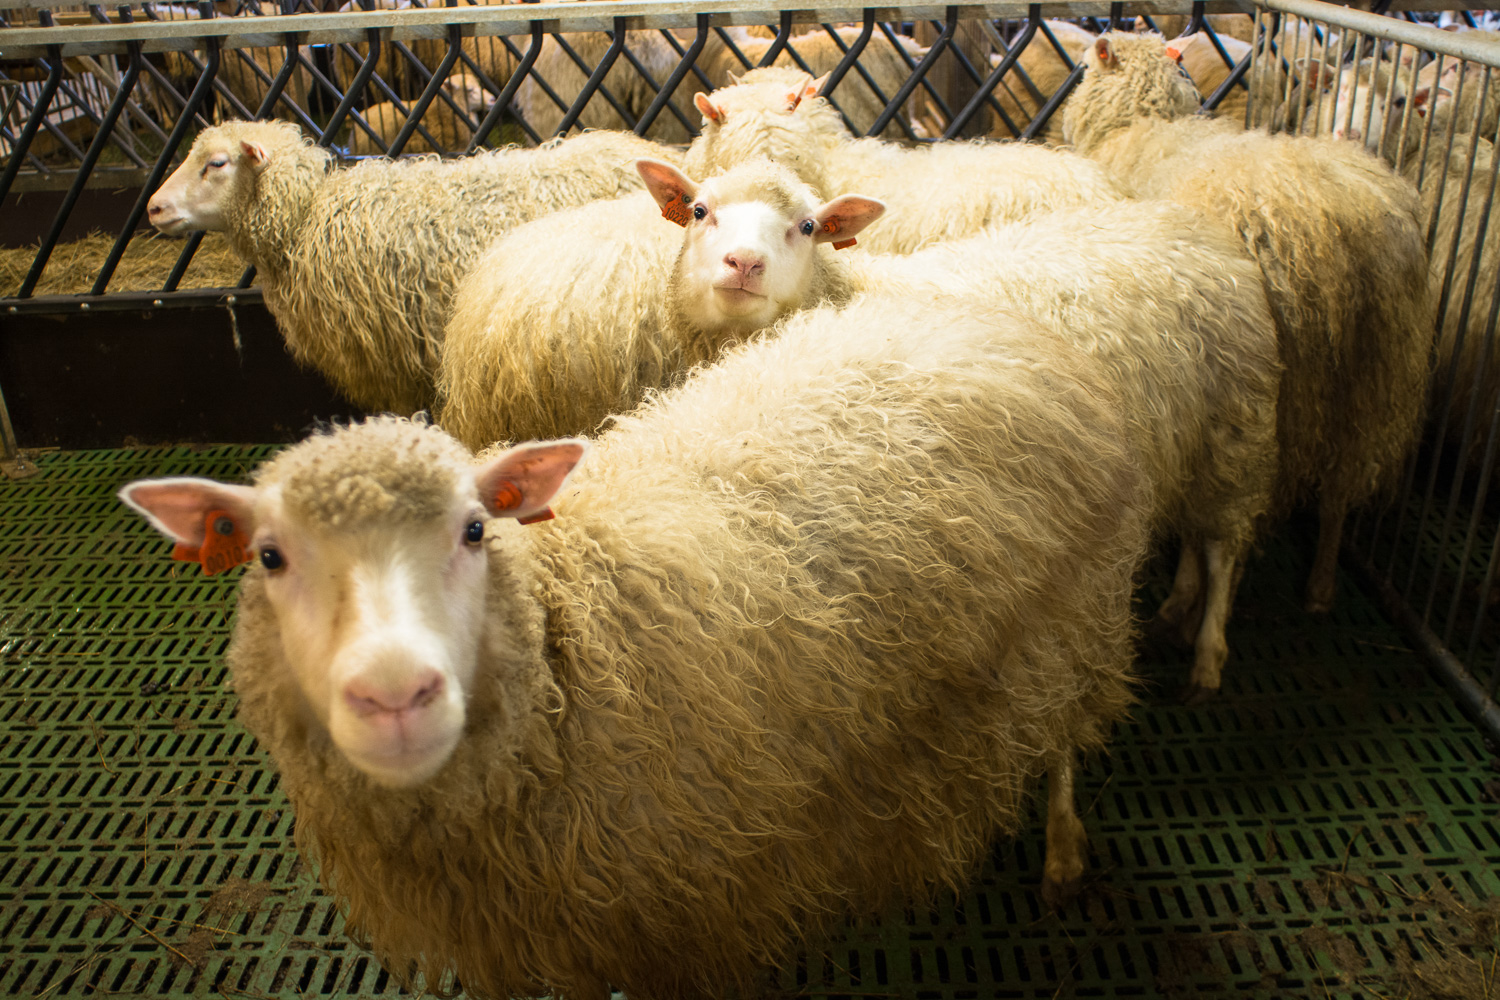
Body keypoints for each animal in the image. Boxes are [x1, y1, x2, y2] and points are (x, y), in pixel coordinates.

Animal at [120, 287, 1146, 995]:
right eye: (269, 556)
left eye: (474, 530)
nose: (394, 696)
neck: (571, 647)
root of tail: (995, 319)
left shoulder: (687, 918)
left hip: (1074, 616)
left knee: (1064, 737)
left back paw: (1063, 854)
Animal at [1062, 29, 1422, 617]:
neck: (1141, 124)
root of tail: (1330, 228)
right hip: (1376, 376)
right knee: (1340, 489)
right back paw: (1321, 586)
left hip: (1247, 380)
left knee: (1221, 513)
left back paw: (1183, 599)